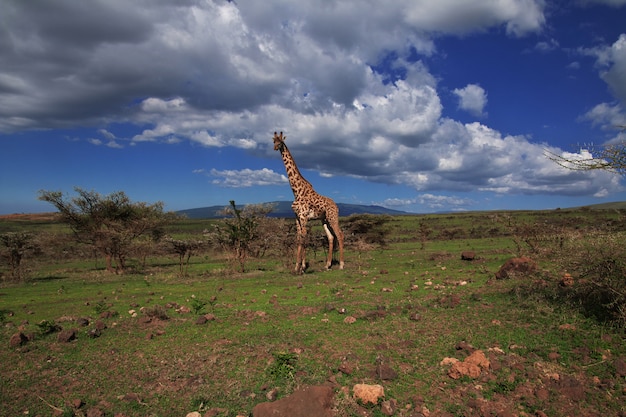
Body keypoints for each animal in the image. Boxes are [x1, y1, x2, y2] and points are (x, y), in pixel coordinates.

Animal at [270, 131, 344, 272]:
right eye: (273, 141)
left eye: (281, 142)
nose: (275, 148)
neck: (296, 191)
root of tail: (336, 206)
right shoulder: (297, 217)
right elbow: (299, 238)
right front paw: (299, 266)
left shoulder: (303, 217)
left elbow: (303, 239)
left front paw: (300, 268)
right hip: (324, 220)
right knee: (331, 237)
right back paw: (327, 265)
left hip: (332, 217)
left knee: (340, 235)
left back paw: (342, 265)